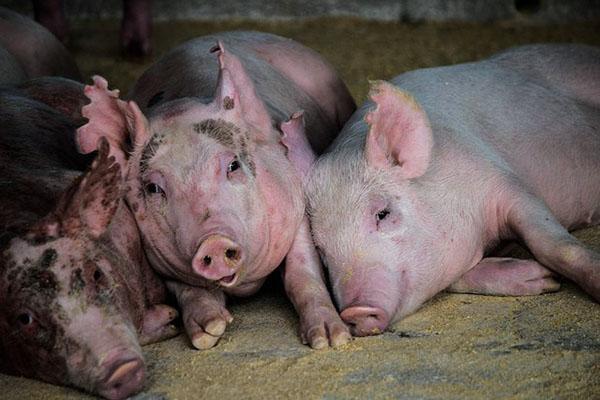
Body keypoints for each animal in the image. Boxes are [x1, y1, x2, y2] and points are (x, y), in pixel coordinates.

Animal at [75, 31, 356, 348]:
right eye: (154, 187)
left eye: (233, 165)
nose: (213, 241)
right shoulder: (157, 258)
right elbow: (189, 289)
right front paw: (209, 331)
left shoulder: (295, 199)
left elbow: (302, 272)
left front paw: (330, 339)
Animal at [304, 43, 600, 336]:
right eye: (321, 250)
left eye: (383, 214)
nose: (355, 311)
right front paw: (541, 277)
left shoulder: (504, 181)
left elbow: (555, 245)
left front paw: (560, 280)